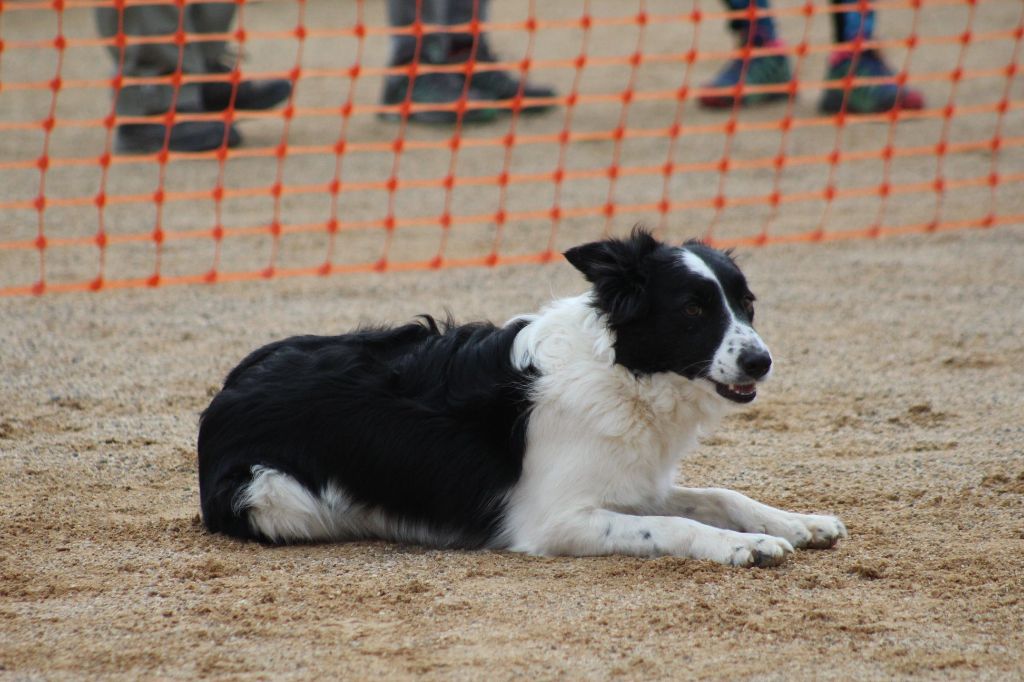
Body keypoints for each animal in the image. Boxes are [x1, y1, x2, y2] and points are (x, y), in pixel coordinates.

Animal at [195, 228, 843, 561]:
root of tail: (228, 386)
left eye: (746, 304)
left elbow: (718, 496)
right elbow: (677, 526)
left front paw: (797, 523)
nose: (761, 362)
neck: (621, 372)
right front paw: (746, 545)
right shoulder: (555, 518)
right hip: (274, 495)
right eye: (692, 309)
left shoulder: (632, 482)